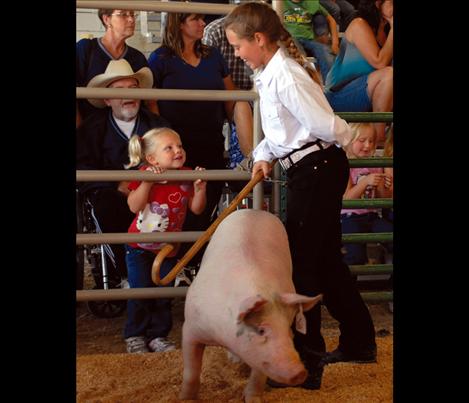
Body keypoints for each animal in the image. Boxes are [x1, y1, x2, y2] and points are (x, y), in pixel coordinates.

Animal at [179, 210, 322, 402]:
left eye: (289, 330)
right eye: (261, 330)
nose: (299, 373)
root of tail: (256, 211)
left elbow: (259, 374)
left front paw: (253, 399)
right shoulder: (190, 328)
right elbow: (191, 371)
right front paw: (185, 398)